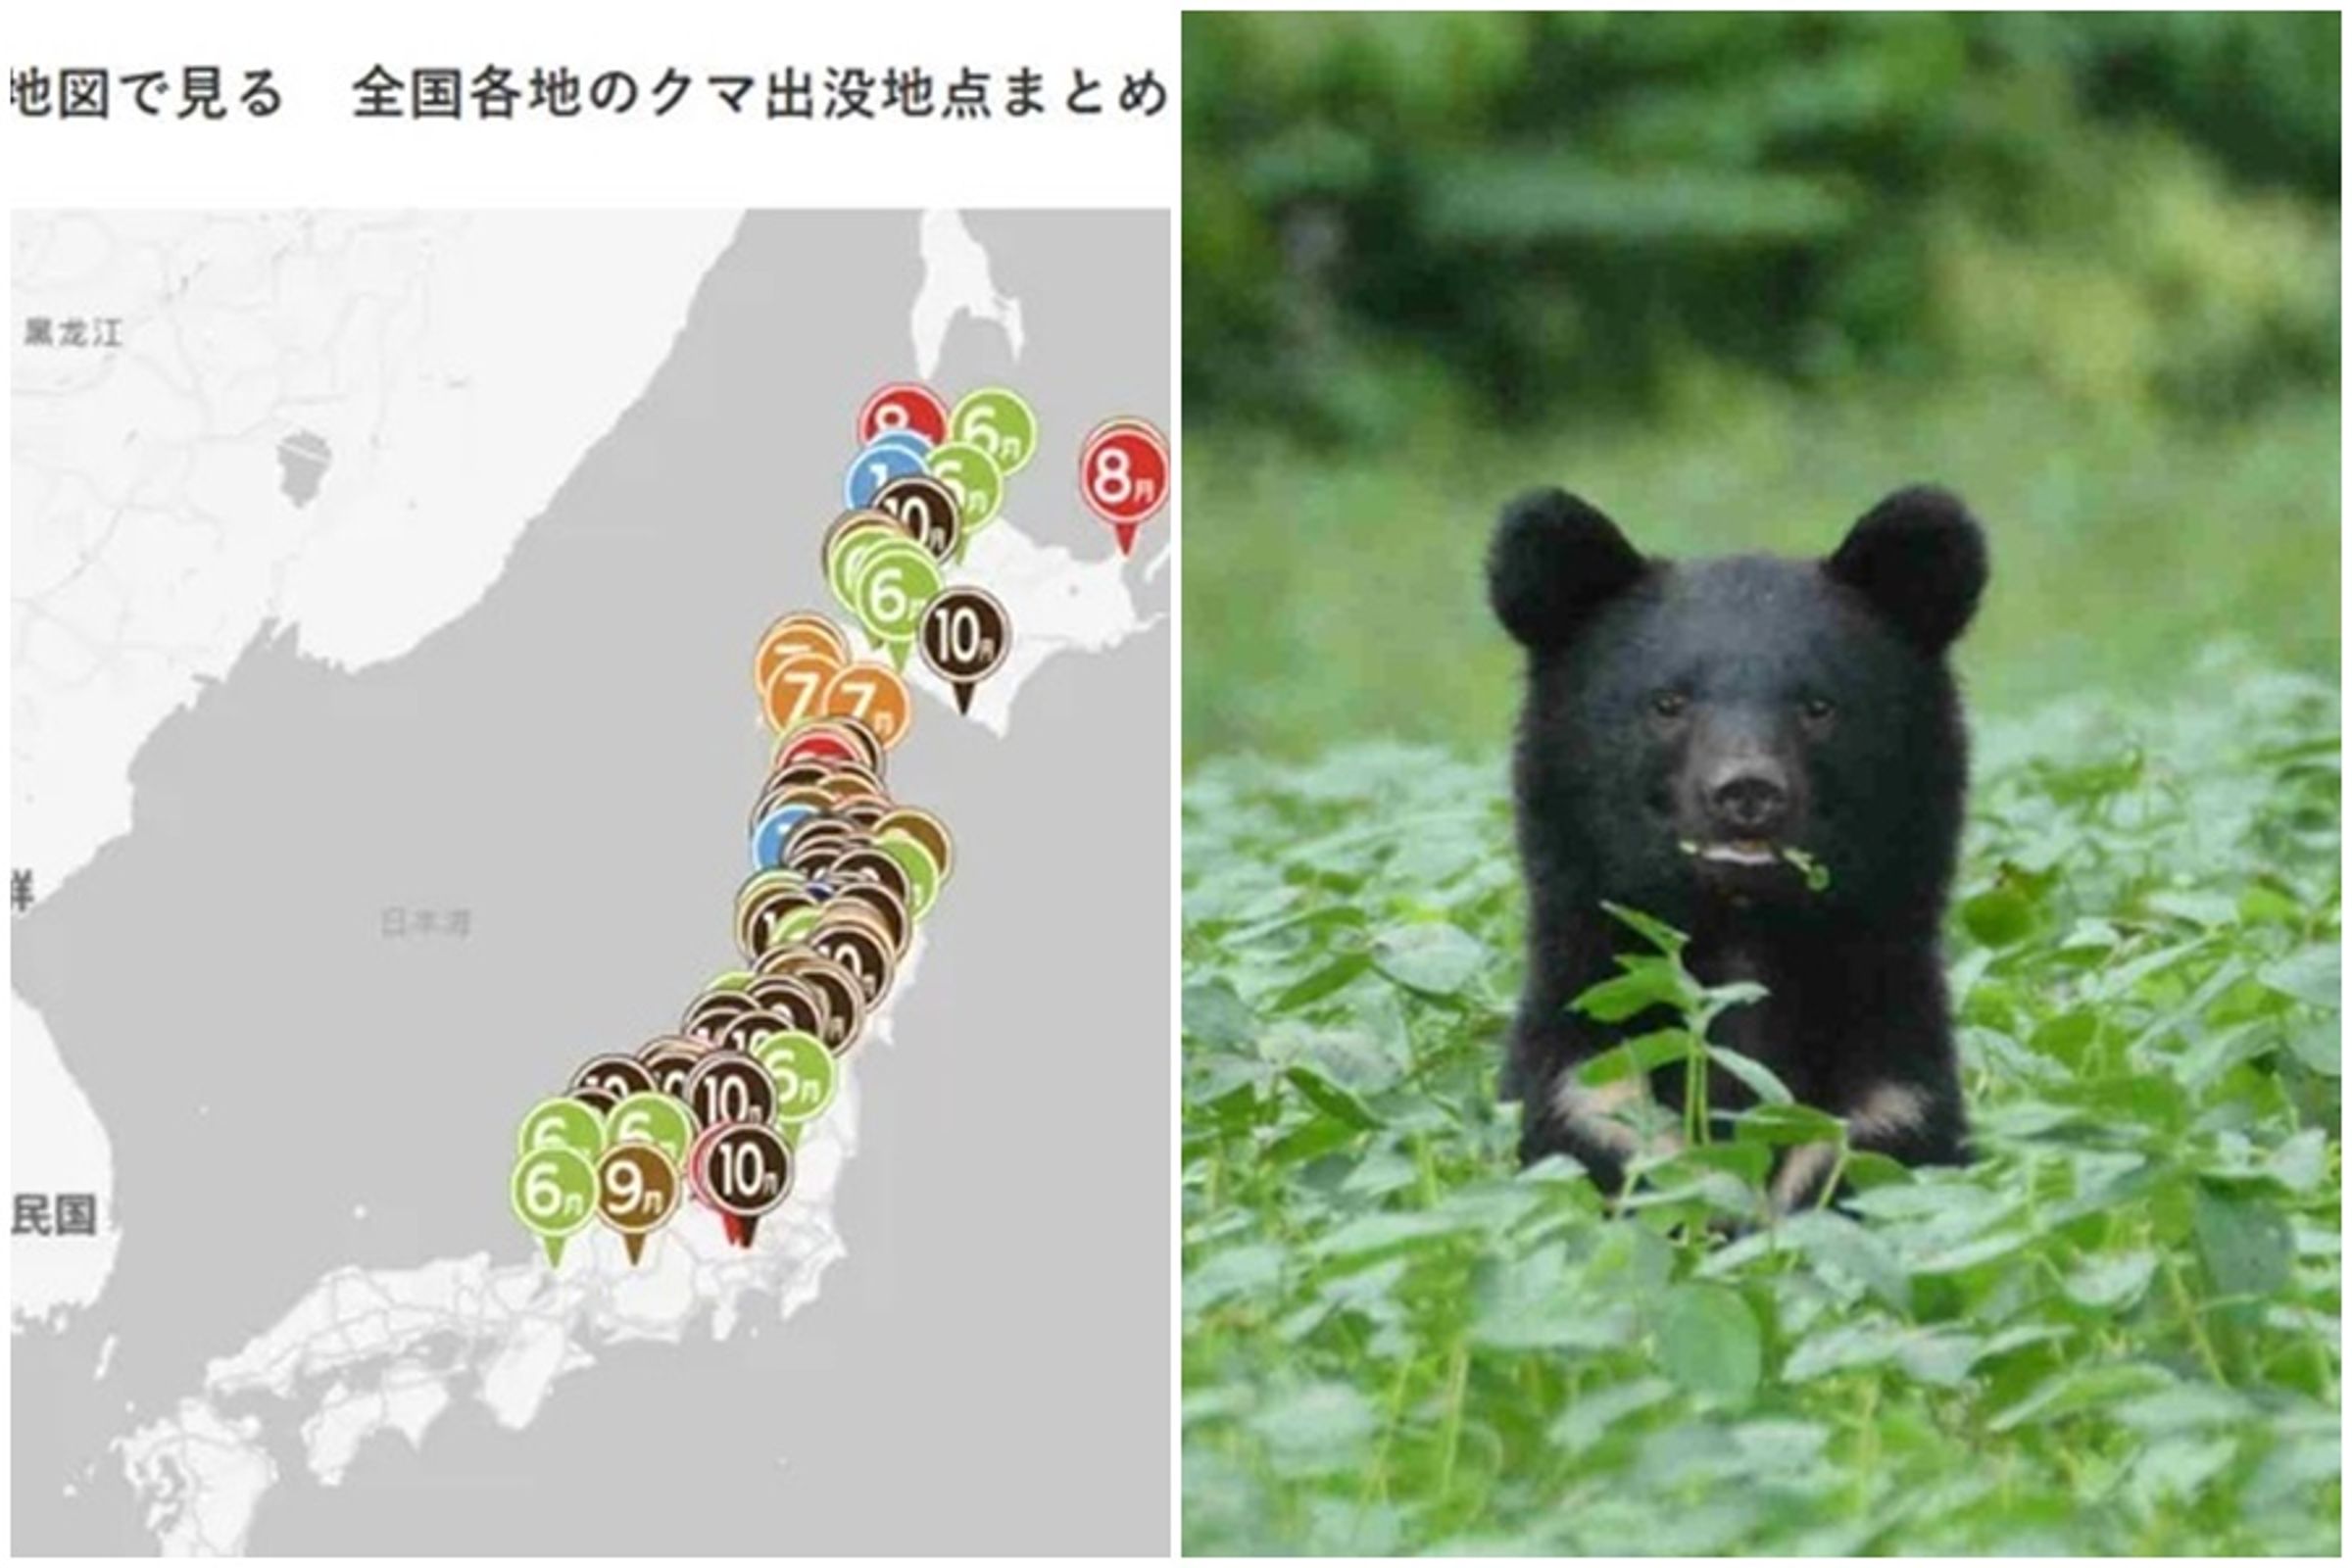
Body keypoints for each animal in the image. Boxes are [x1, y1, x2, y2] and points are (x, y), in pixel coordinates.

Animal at [1486, 484, 1985, 1213]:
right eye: (1668, 702)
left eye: (1818, 705)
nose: (1747, 790)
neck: (1743, 932)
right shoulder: (1588, 1100)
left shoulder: (1890, 1109)